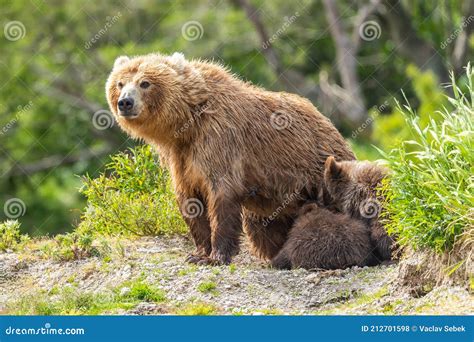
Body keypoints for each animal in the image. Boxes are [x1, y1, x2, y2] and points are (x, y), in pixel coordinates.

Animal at [105, 52, 354, 264]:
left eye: (145, 83)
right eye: (120, 83)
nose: (125, 102)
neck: (187, 124)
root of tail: (331, 125)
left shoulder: (220, 139)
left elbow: (221, 193)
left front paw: (216, 255)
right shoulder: (180, 157)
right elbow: (189, 198)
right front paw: (198, 253)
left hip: (318, 172)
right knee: (261, 228)